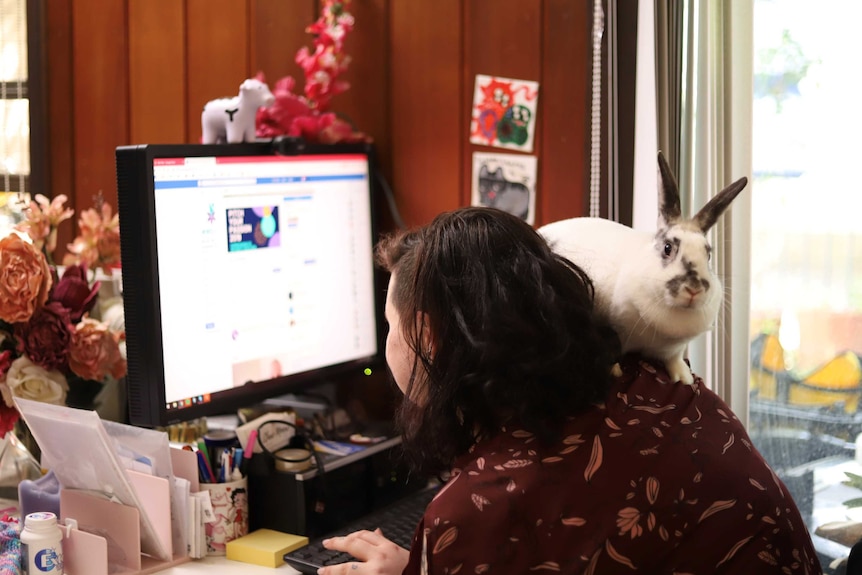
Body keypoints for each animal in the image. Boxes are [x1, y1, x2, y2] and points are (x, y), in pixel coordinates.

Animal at [540, 151, 748, 384]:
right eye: (667, 248)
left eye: (708, 255)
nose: (694, 289)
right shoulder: (616, 330)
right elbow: (614, 350)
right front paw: (615, 371)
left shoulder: (675, 349)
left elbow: (674, 360)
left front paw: (684, 377)